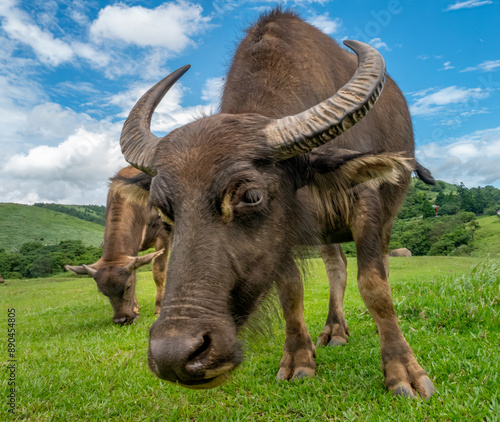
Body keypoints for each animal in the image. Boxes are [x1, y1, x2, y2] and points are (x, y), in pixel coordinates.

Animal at [66, 166, 170, 324]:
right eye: (103, 292)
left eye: (127, 286)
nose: (121, 319)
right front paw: (136, 311)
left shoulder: (162, 237)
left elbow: (158, 274)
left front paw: (158, 310)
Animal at [115, 9, 436, 398]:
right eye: (163, 212)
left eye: (251, 196)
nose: (174, 354)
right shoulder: (284, 237)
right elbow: (291, 290)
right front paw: (299, 359)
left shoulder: (366, 202)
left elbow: (374, 284)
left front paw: (404, 371)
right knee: (337, 266)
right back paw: (334, 330)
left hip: (386, 216)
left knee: (377, 266)